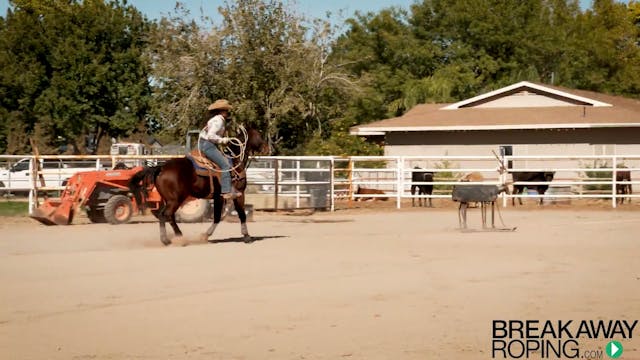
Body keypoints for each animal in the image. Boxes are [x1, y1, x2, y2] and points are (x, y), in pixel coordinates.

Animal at [129, 125, 268, 246]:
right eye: (259, 135)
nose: (267, 148)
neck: (234, 162)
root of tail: (161, 168)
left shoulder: (218, 197)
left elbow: (217, 217)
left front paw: (205, 236)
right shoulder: (239, 193)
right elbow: (241, 214)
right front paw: (247, 236)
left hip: (167, 199)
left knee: (164, 215)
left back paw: (168, 239)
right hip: (175, 200)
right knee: (166, 215)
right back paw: (177, 238)